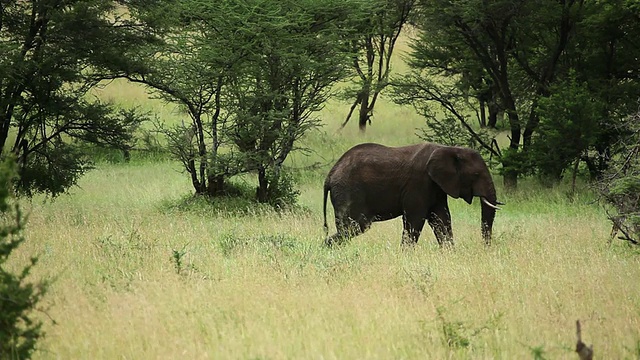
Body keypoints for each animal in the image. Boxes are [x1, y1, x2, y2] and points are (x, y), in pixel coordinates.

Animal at [322, 142, 502, 246]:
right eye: (476, 175)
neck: (448, 149)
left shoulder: (436, 186)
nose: (486, 247)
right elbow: (415, 219)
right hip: (348, 191)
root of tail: (329, 175)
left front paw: (449, 253)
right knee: (355, 227)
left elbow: (441, 219)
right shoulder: (418, 183)